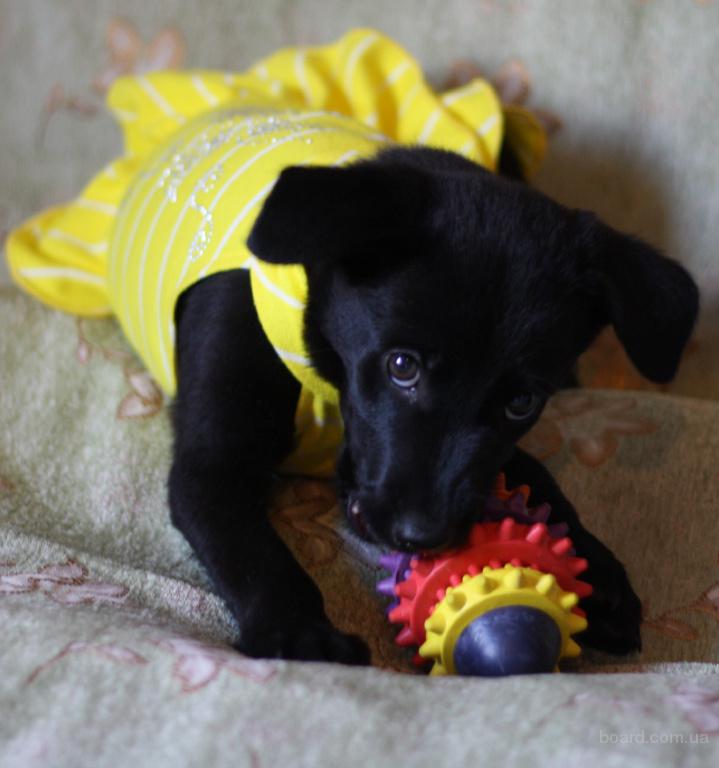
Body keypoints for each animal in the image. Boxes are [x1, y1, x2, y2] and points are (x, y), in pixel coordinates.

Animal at [168, 143, 699, 665]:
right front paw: (302, 635)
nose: (423, 536)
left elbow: (539, 476)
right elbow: (258, 555)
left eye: (521, 402)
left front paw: (598, 572)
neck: (329, 377)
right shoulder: (211, 466)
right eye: (402, 365)